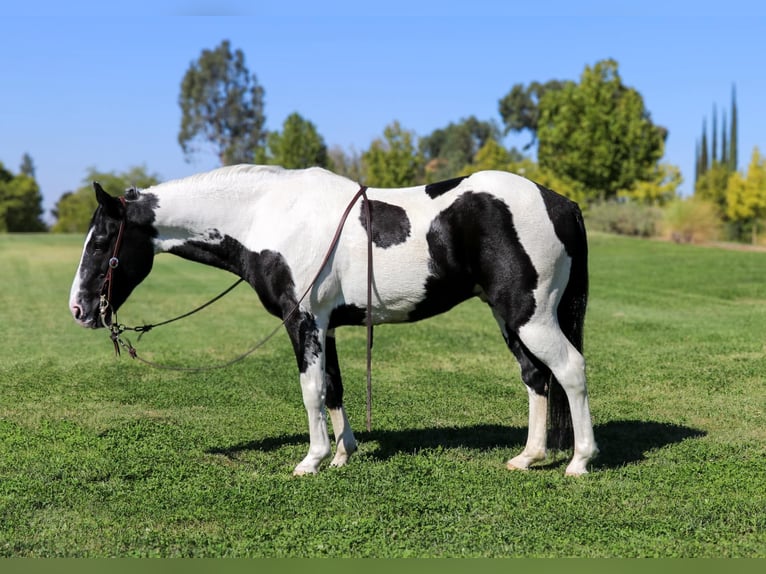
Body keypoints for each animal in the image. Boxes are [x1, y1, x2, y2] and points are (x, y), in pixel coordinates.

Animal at [69, 165, 598, 476]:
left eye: (103, 241)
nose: (78, 310)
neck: (267, 215)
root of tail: (561, 203)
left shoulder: (302, 322)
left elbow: (310, 390)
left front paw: (313, 459)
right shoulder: (327, 326)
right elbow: (334, 388)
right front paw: (344, 454)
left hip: (531, 318)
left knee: (570, 371)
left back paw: (578, 462)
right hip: (513, 319)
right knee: (536, 377)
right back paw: (528, 457)